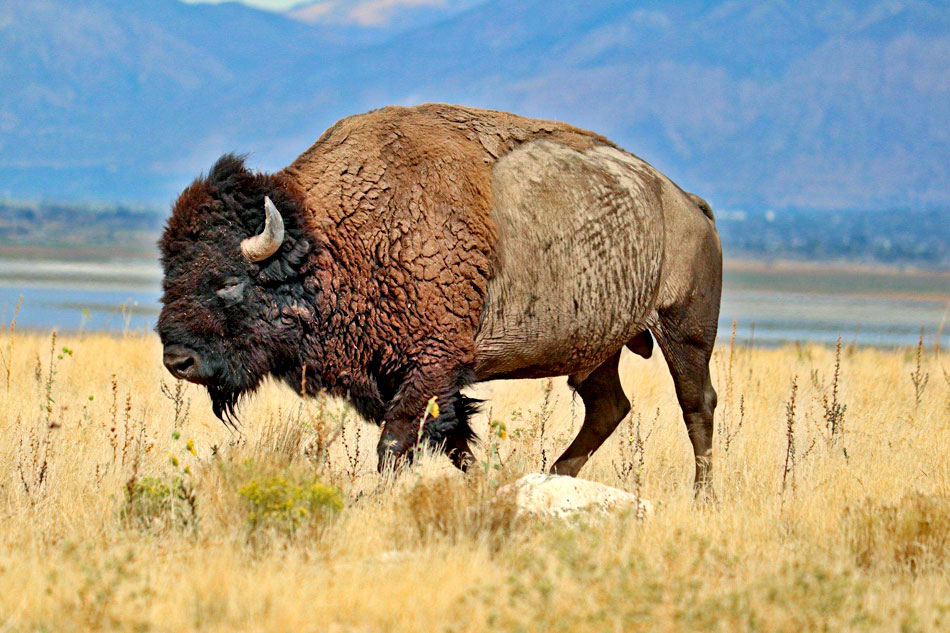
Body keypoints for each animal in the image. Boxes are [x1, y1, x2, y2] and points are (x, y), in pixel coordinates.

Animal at [158, 106, 720, 486]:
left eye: (228, 282)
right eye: (170, 272)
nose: (178, 359)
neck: (336, 237)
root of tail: (688, 203)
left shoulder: (431, 365)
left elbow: (397, 441)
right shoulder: (402, 375)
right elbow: (454, 439)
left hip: (684, 331)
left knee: (697, 404)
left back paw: (702, 495)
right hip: (596, 350)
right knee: (609, 407)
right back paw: (558, 474)